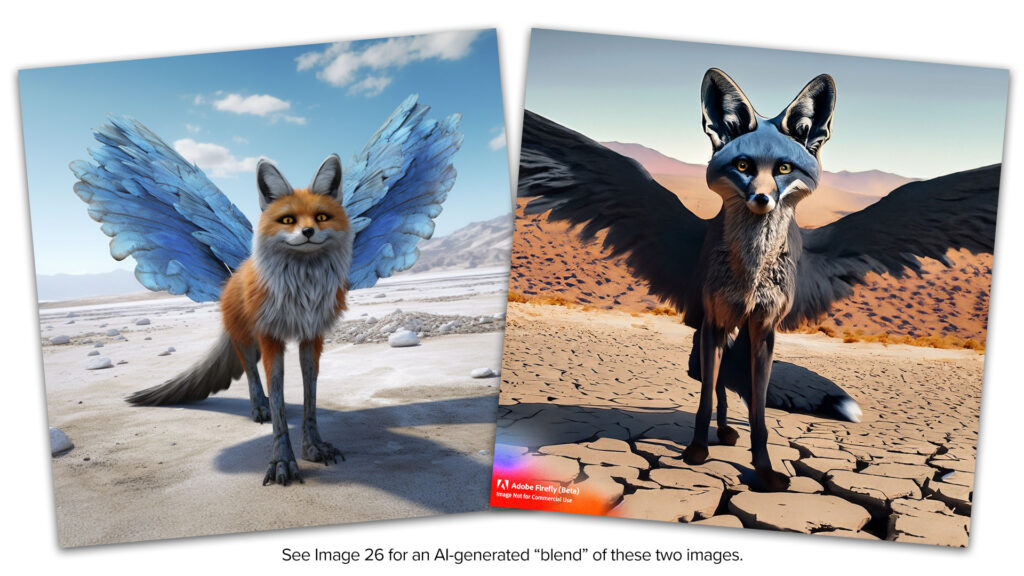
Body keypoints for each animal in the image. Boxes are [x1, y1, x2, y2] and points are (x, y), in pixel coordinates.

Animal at [127, 155, 352, 486]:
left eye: (322, 217)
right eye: (288, 220)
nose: (308, 232)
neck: (303, 289)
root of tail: (235, 273)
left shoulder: (312, 337)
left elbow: (310, 397)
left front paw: (313, 447)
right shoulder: (270, 338)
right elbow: (277, 400)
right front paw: (282, 461)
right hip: (245, 338)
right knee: (250, 370)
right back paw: (259, 406)